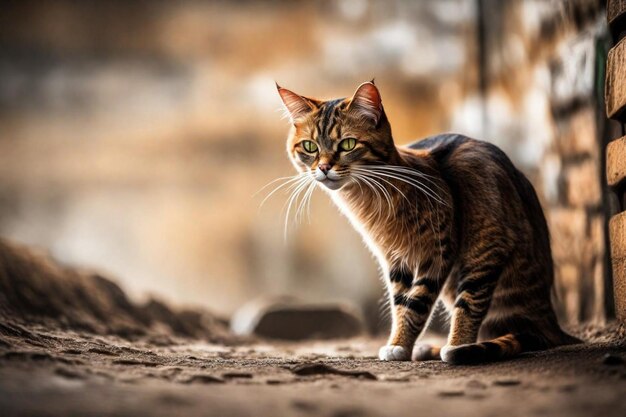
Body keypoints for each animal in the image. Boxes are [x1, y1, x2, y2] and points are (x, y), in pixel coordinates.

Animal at [276, 82, 576, 364]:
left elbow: (417, 303)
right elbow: (400, 304)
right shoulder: (396, 261)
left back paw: (457, 347)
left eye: (347, 144)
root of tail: (549, 322)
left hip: (483, 248)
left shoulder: (438, 252)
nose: (324, 168)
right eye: (310, 147)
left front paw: (405, 345)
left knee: (472, 306)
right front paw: (400, 343)